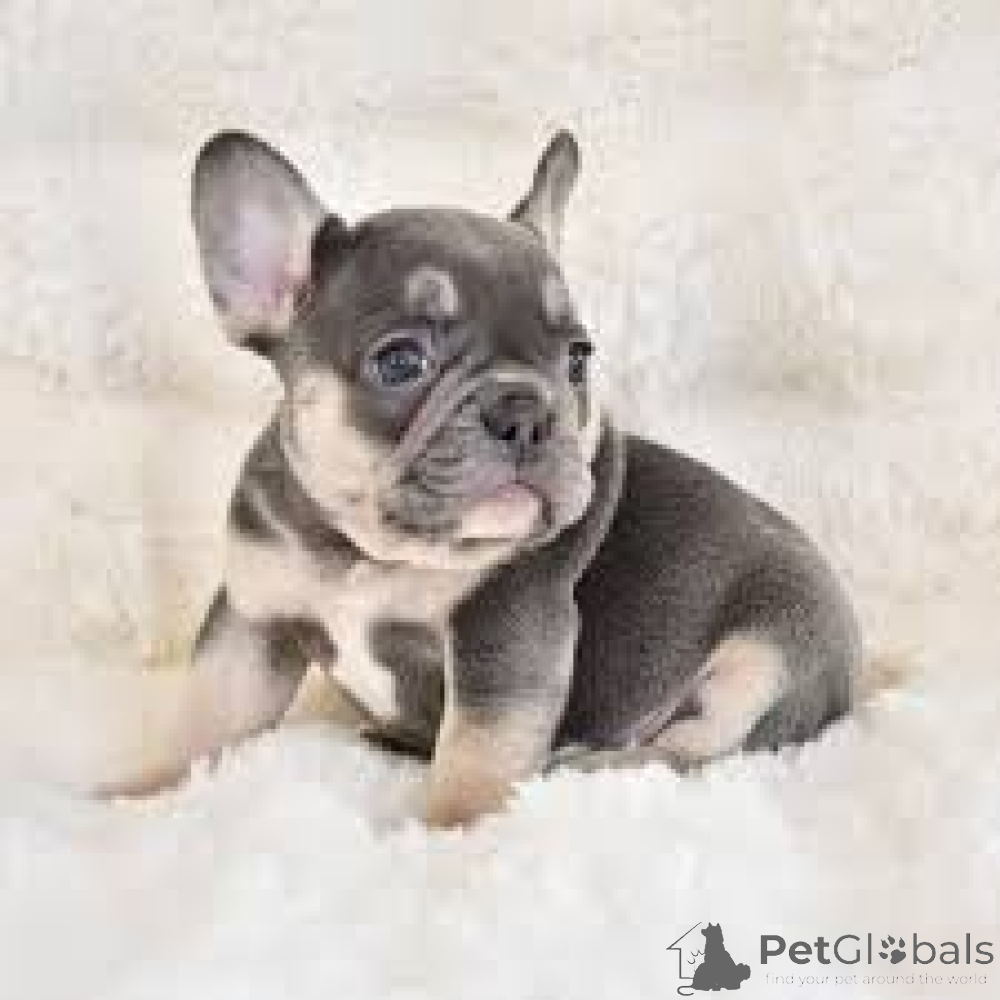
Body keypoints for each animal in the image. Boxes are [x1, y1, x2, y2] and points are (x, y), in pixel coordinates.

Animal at [115, 129, 859, 826]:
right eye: (401, 360)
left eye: (578, 359)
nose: (526, 410)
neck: (367, 553)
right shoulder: (251, 618)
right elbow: (205, 718)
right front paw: (138, 796)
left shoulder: (506, 633)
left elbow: (478, 752)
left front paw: (452, 836)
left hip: (769, 656)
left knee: (695, 751)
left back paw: (591, 763)